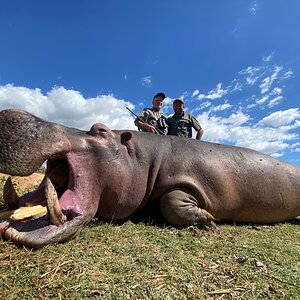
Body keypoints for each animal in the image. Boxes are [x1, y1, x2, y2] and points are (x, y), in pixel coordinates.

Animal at [0, 108, 298, 248]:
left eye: (100, 129)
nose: (12, 113)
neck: (143, 158)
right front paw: (209, 219)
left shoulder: (185, 183)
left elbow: (171, 202)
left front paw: (209, 219)